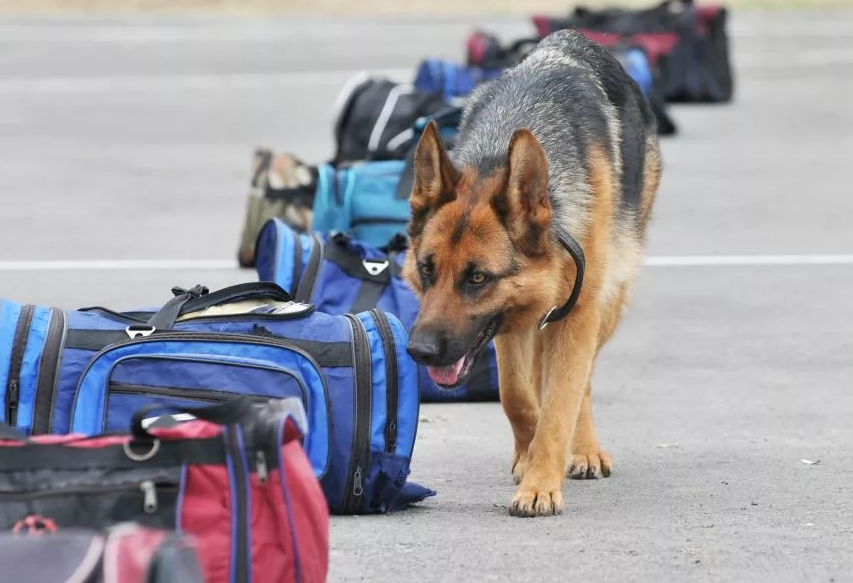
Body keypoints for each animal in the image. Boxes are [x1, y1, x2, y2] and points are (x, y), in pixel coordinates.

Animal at [402, 29, 664, 516]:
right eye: (426, 270)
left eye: (477, 278)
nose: (419, 352)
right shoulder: (508, 323)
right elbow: (517, 397)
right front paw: (529, 460)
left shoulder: (575, 316)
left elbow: (561, 402)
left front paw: (541, 483)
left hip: (607, 304)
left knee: (582, 381)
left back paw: (583, 449)